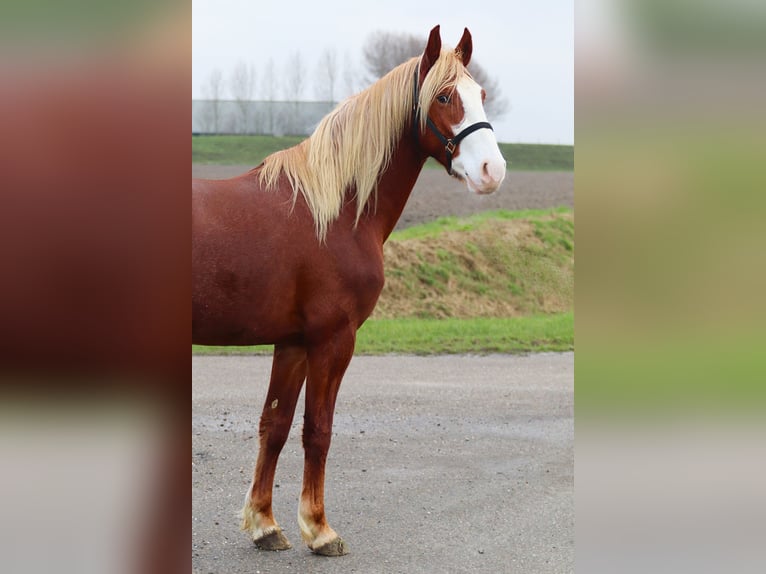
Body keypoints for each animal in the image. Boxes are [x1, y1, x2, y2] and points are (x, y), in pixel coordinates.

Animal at [192, 27, 508, 560]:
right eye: (444, 97)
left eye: (481, 94)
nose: (492, 170)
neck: (337, 208)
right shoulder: (333, 339)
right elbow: (318, 430)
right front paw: (319, 530)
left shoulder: (294, 343)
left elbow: (275, 426)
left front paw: (265, 525)